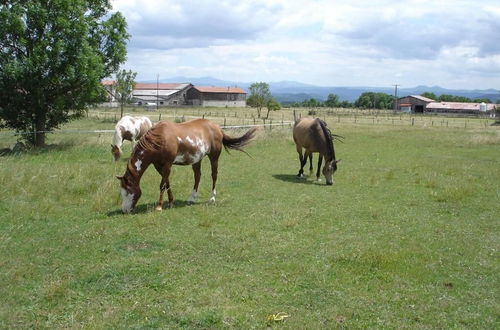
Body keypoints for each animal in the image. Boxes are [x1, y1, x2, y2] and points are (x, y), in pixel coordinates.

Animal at [117, 118, 258, 214]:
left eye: (128, 191)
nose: (124, 210)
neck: (159, 139)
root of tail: (217, 128)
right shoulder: (158, 165)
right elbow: (167, 182)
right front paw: (171, 201)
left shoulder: (167, 164)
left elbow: (162, 184)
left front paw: (159, 206)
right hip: (197, 159)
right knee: (197, 176)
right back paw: (192, 198)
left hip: (214, 157)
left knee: (214, 175)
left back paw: (212, 198)